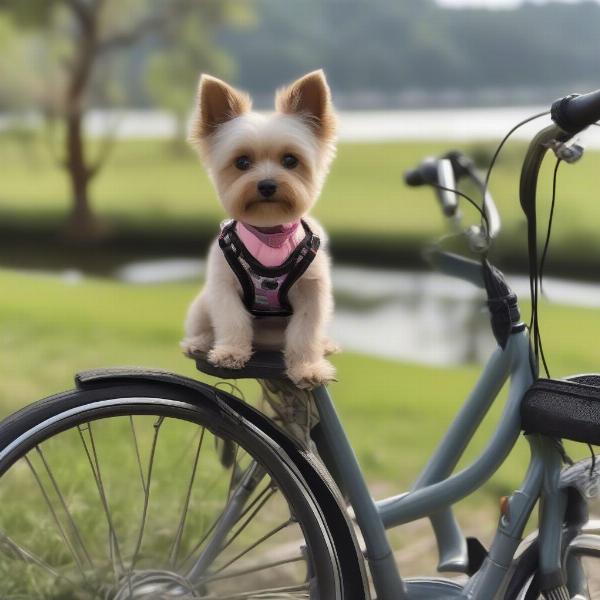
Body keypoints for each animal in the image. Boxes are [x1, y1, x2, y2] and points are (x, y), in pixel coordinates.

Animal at [180, 69, 340, 390]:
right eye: (242, 162)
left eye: (290, 160)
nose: (266, 184)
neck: (270, 233)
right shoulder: (224, 285)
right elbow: (232, 320)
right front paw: (230, 353)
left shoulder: (312, 290)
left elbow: (305, 332)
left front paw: (308, 368)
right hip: (203, 303)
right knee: (203, 324)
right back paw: (199, 343)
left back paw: (325, 345)